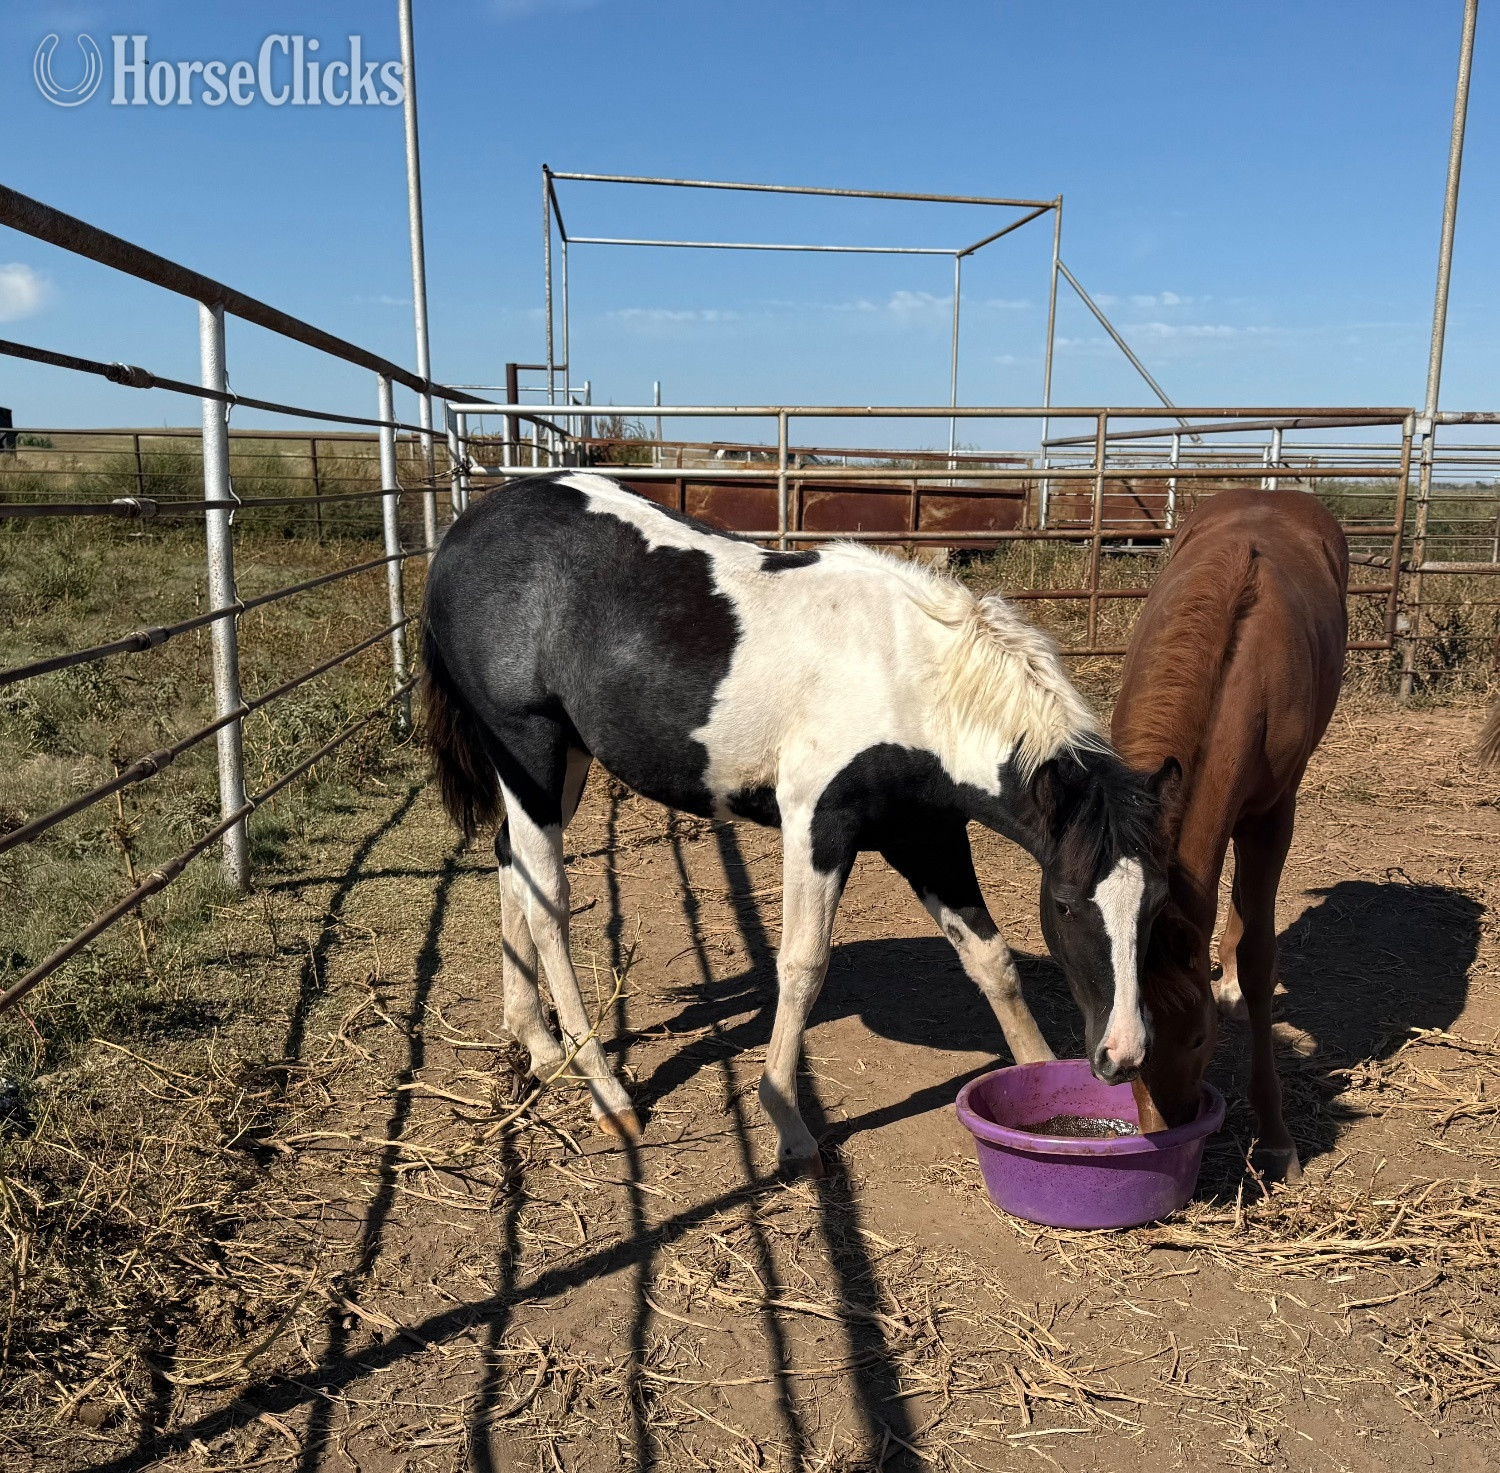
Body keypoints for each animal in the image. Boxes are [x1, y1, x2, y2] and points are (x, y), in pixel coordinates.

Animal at [420, 471, 1175, 1176]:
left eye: (1158, 906)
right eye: (1066, 903)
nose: (1123, 1054)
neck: (907, 680)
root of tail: (468, 528)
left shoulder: (926, 833)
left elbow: (990, 958)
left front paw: (1033, 1071)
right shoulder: (819, 824)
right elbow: (805, 964)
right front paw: (789, 1122)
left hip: (564, 763)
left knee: (510, 863)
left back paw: (540, 1046)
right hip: (529, 748)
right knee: (547, 901)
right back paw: (606, 1090)